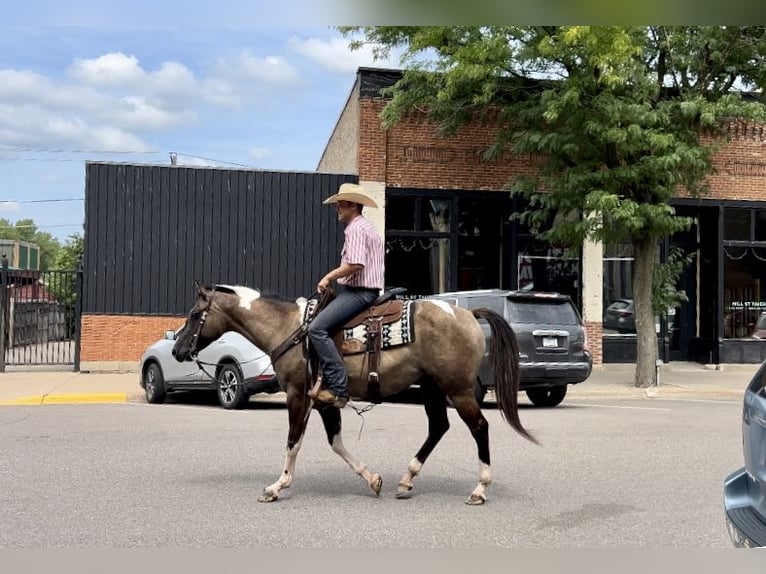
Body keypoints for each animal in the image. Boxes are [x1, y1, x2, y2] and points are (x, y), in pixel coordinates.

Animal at [172, 282, 540, 504]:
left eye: (194, 314)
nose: (176, 349)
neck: (289, 329)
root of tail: (467, 313)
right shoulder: (324, 401)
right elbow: (335, 442)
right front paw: (373, 479)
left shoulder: (298, 394)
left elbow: (293, 441)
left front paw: (277, 487)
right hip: (432, 387)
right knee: (438, 427)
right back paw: (406, 480)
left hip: (458, 389)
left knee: (479, 427)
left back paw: (479, 489)